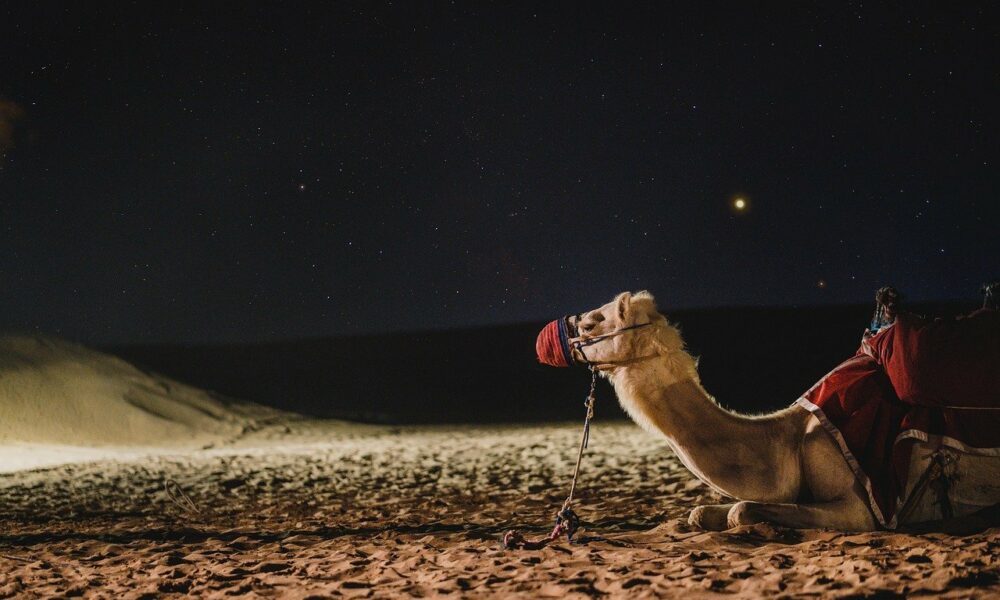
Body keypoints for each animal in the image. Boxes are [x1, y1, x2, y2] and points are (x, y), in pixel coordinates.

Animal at [556, 290, 1000, 528]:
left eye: (595, 322)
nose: (569, 328)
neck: (787, 440)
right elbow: (701, 513)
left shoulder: (861, 505)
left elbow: (740, 510)